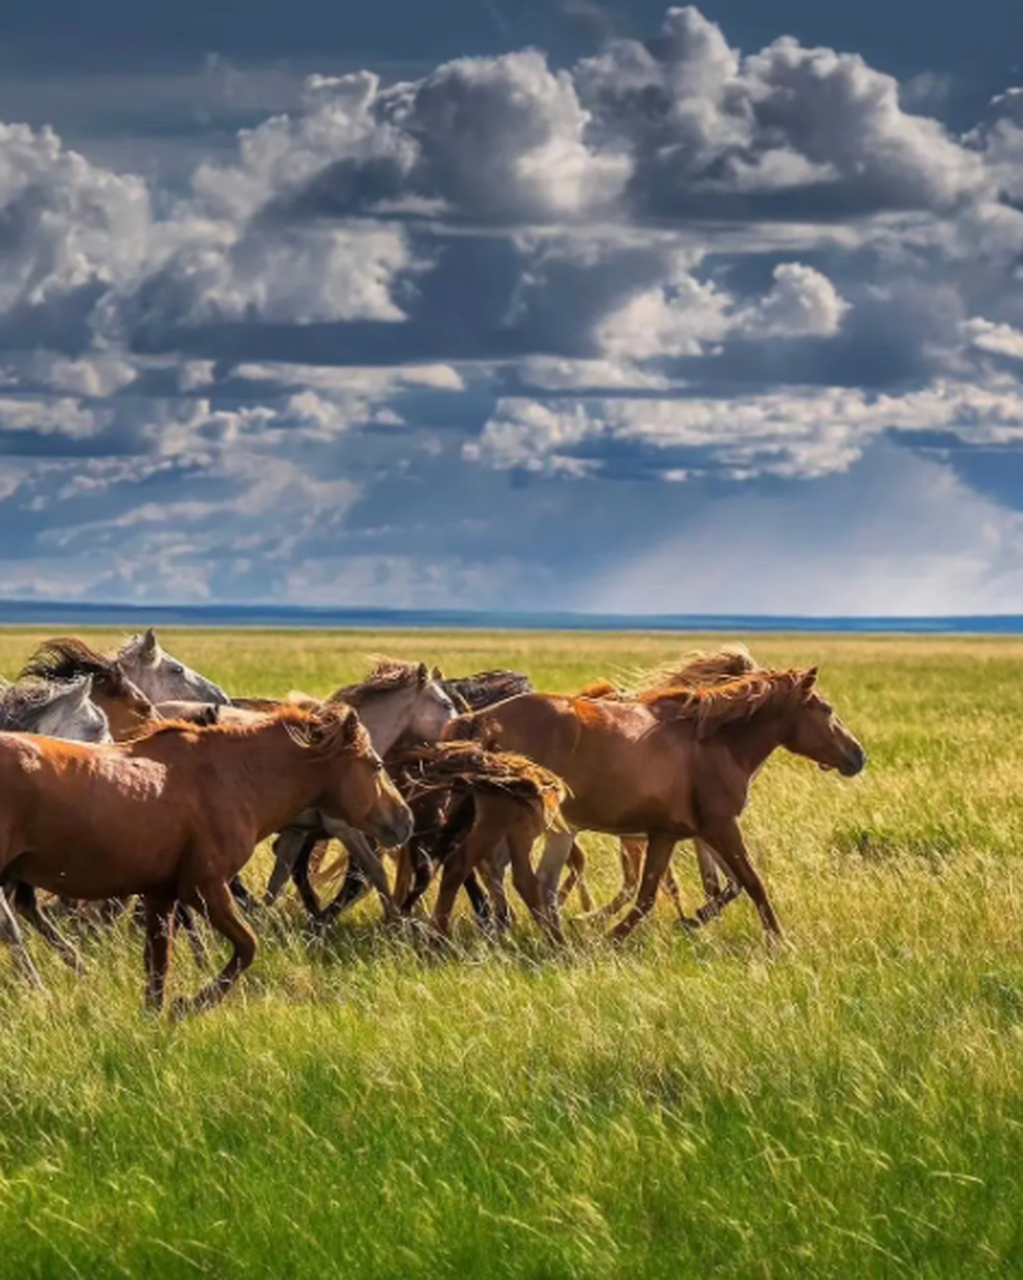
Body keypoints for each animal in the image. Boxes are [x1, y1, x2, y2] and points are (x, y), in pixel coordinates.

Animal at [0, 701, 412, 1008]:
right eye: (376, 764)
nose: (405, 820)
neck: (232, 778)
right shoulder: (205, 888)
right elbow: (247, 947)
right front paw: (187, 1006)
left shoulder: (160, 895)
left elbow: (158, 966)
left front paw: (156, 1019)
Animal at [445, 670, 865, 942]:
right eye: (827, 709)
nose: (858, 756)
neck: (713, 745)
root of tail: (480, 720)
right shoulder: (721, 827)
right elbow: (751, 882)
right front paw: (778, 941)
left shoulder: (666, 834)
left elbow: (650, 894)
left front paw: (614, 939)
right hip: (510, 819)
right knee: (477, 869)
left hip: (541, 826)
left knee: (525, 882)